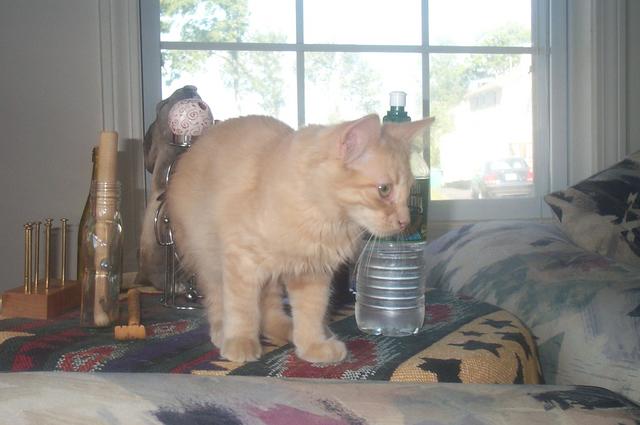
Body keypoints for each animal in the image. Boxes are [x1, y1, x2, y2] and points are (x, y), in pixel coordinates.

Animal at [166, 114, 433, 363]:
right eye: (384, 190)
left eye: (409, 192)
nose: (405, 221)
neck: (323, 218)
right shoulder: (241, 260)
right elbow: (242, 309)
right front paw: (241, 341)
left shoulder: (311, 274)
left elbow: (310, 314)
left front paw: (312, 345)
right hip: (208, 256)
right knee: (217, 299)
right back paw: (223, 333)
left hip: (271, 277)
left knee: (270, 310)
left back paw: (287, 329)